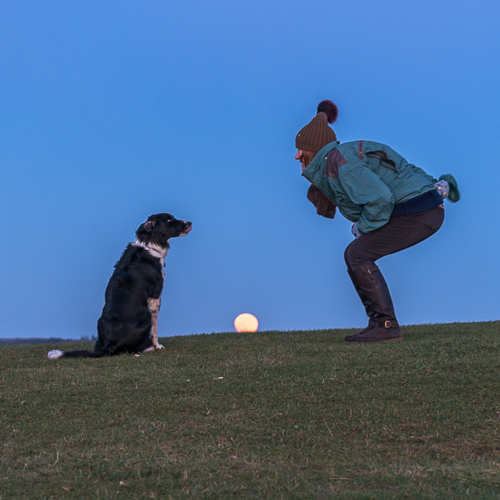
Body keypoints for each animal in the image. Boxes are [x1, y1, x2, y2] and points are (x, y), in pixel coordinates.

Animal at [47, 212, 191, 360]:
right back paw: (148, 348)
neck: (149, 245)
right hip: (145, 314)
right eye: (169, 220)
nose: (189, 223)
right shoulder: (155, 296)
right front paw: (157, 346)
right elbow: (155, 329)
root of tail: (108, 345)